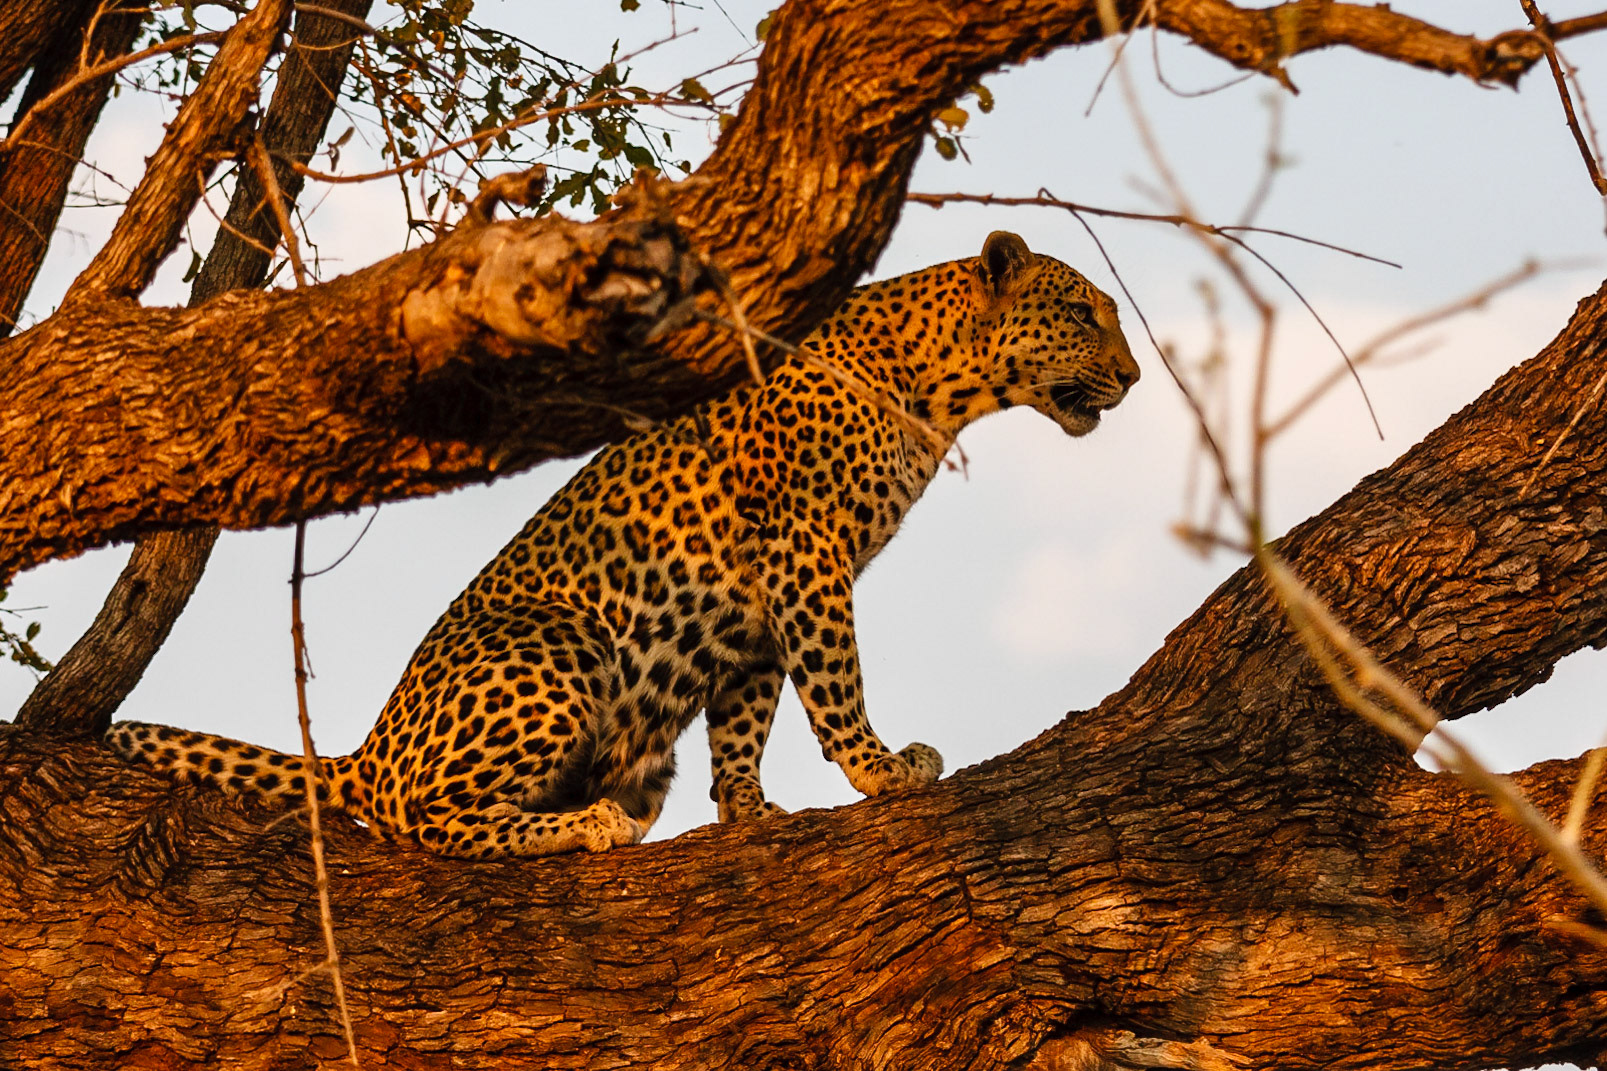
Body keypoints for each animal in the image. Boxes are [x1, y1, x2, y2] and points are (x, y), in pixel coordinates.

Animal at [107, 231, 1140, 859]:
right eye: (1082, 312)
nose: (1133, 376)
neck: (938, 388)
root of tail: (367, 746)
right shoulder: (807, 551)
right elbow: (833, 678)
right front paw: (878, 769)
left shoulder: (758, 598)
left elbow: (745, 714)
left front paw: (748, 810)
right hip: (557, 639)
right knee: (423, 818)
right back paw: (586, 824)